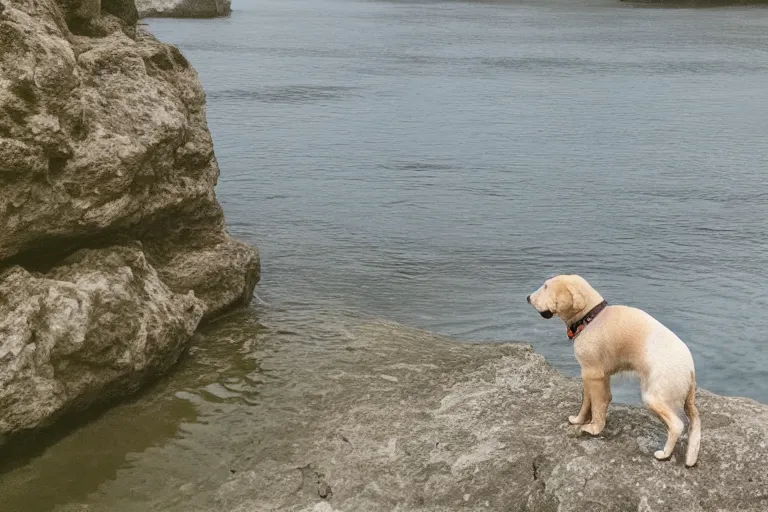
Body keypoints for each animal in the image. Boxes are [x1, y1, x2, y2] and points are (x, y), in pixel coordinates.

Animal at [528, 274, 704, 466]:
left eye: (546, 287)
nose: (528, 297)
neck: (591, 318)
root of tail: (690, 369)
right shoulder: (592, 375)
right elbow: (589, 402)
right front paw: (579, 420)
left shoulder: (593, 374)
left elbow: (597, 405)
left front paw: (594, 428)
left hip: (653, 396)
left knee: (677, 425)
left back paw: (664, 454)